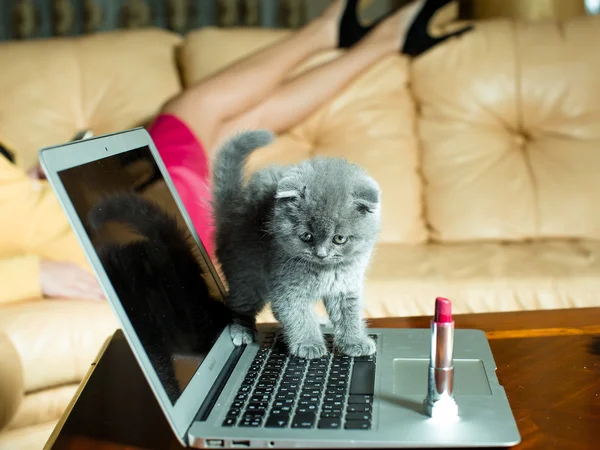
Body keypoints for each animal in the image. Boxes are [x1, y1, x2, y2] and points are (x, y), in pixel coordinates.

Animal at [212, 129, 380, 358]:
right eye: (307, 236)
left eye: (339, 238)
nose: (321, 253)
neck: (325, 269)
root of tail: (229, 213)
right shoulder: (287, 286)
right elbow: (296, 315)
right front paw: (308, 344)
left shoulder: (346, 284)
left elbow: (349, 314)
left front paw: (355, 342)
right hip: (246, 273)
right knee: (239, 303)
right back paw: (242, 329)